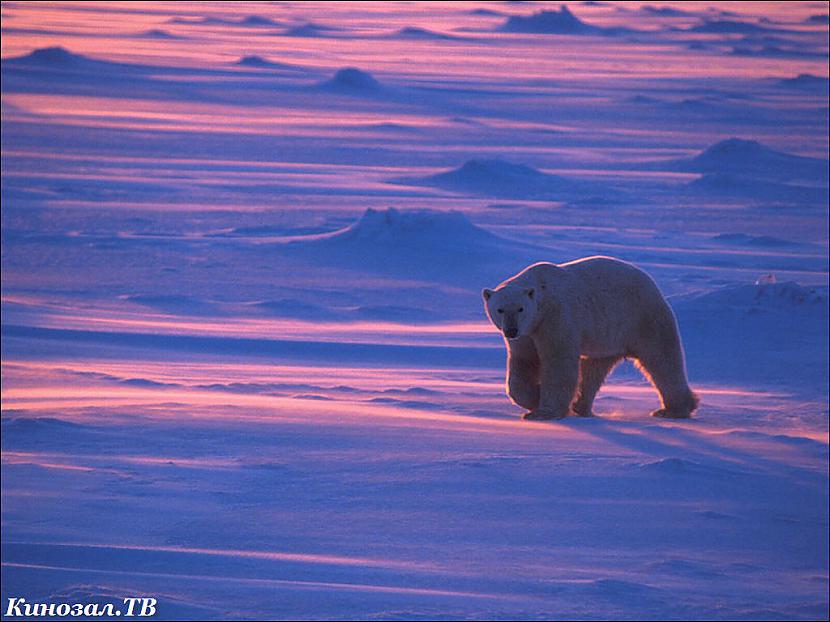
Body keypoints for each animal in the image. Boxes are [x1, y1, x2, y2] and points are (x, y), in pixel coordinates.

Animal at [484, 256, 700, 422]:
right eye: (500, 309)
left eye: (520, 309)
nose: (511, 330)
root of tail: (653, 285)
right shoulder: (527, 335)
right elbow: (523, 364)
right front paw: (534, 398)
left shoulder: (555, 319)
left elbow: (558, 362)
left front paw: (544, 411)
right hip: (607, 337)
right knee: (594, 369)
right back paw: (581, 406)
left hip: (642, 318)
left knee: (662, 359)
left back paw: (673, 410)